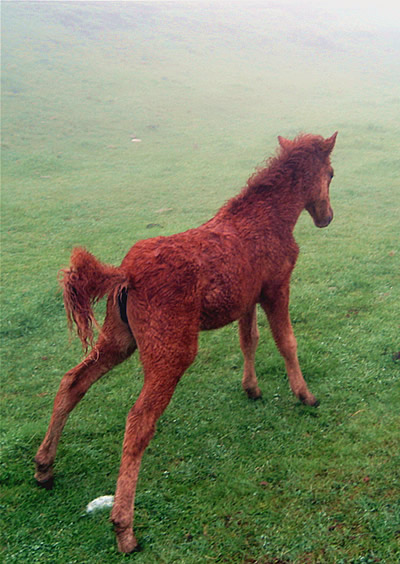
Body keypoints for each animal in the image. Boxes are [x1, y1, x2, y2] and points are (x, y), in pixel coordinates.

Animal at [34, 132, 338, 552]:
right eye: (331, 173)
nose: (327, 217)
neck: (268, 217)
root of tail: (125, 273)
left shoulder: (245, 298)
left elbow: (249, 340)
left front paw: (252, 388)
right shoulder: (276, 288)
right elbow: (286, 341)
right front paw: (305, 395)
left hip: (118, 339)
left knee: (72, 382)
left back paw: (44, 468)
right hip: (171, 353)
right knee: (139, 420)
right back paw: (124, 528)